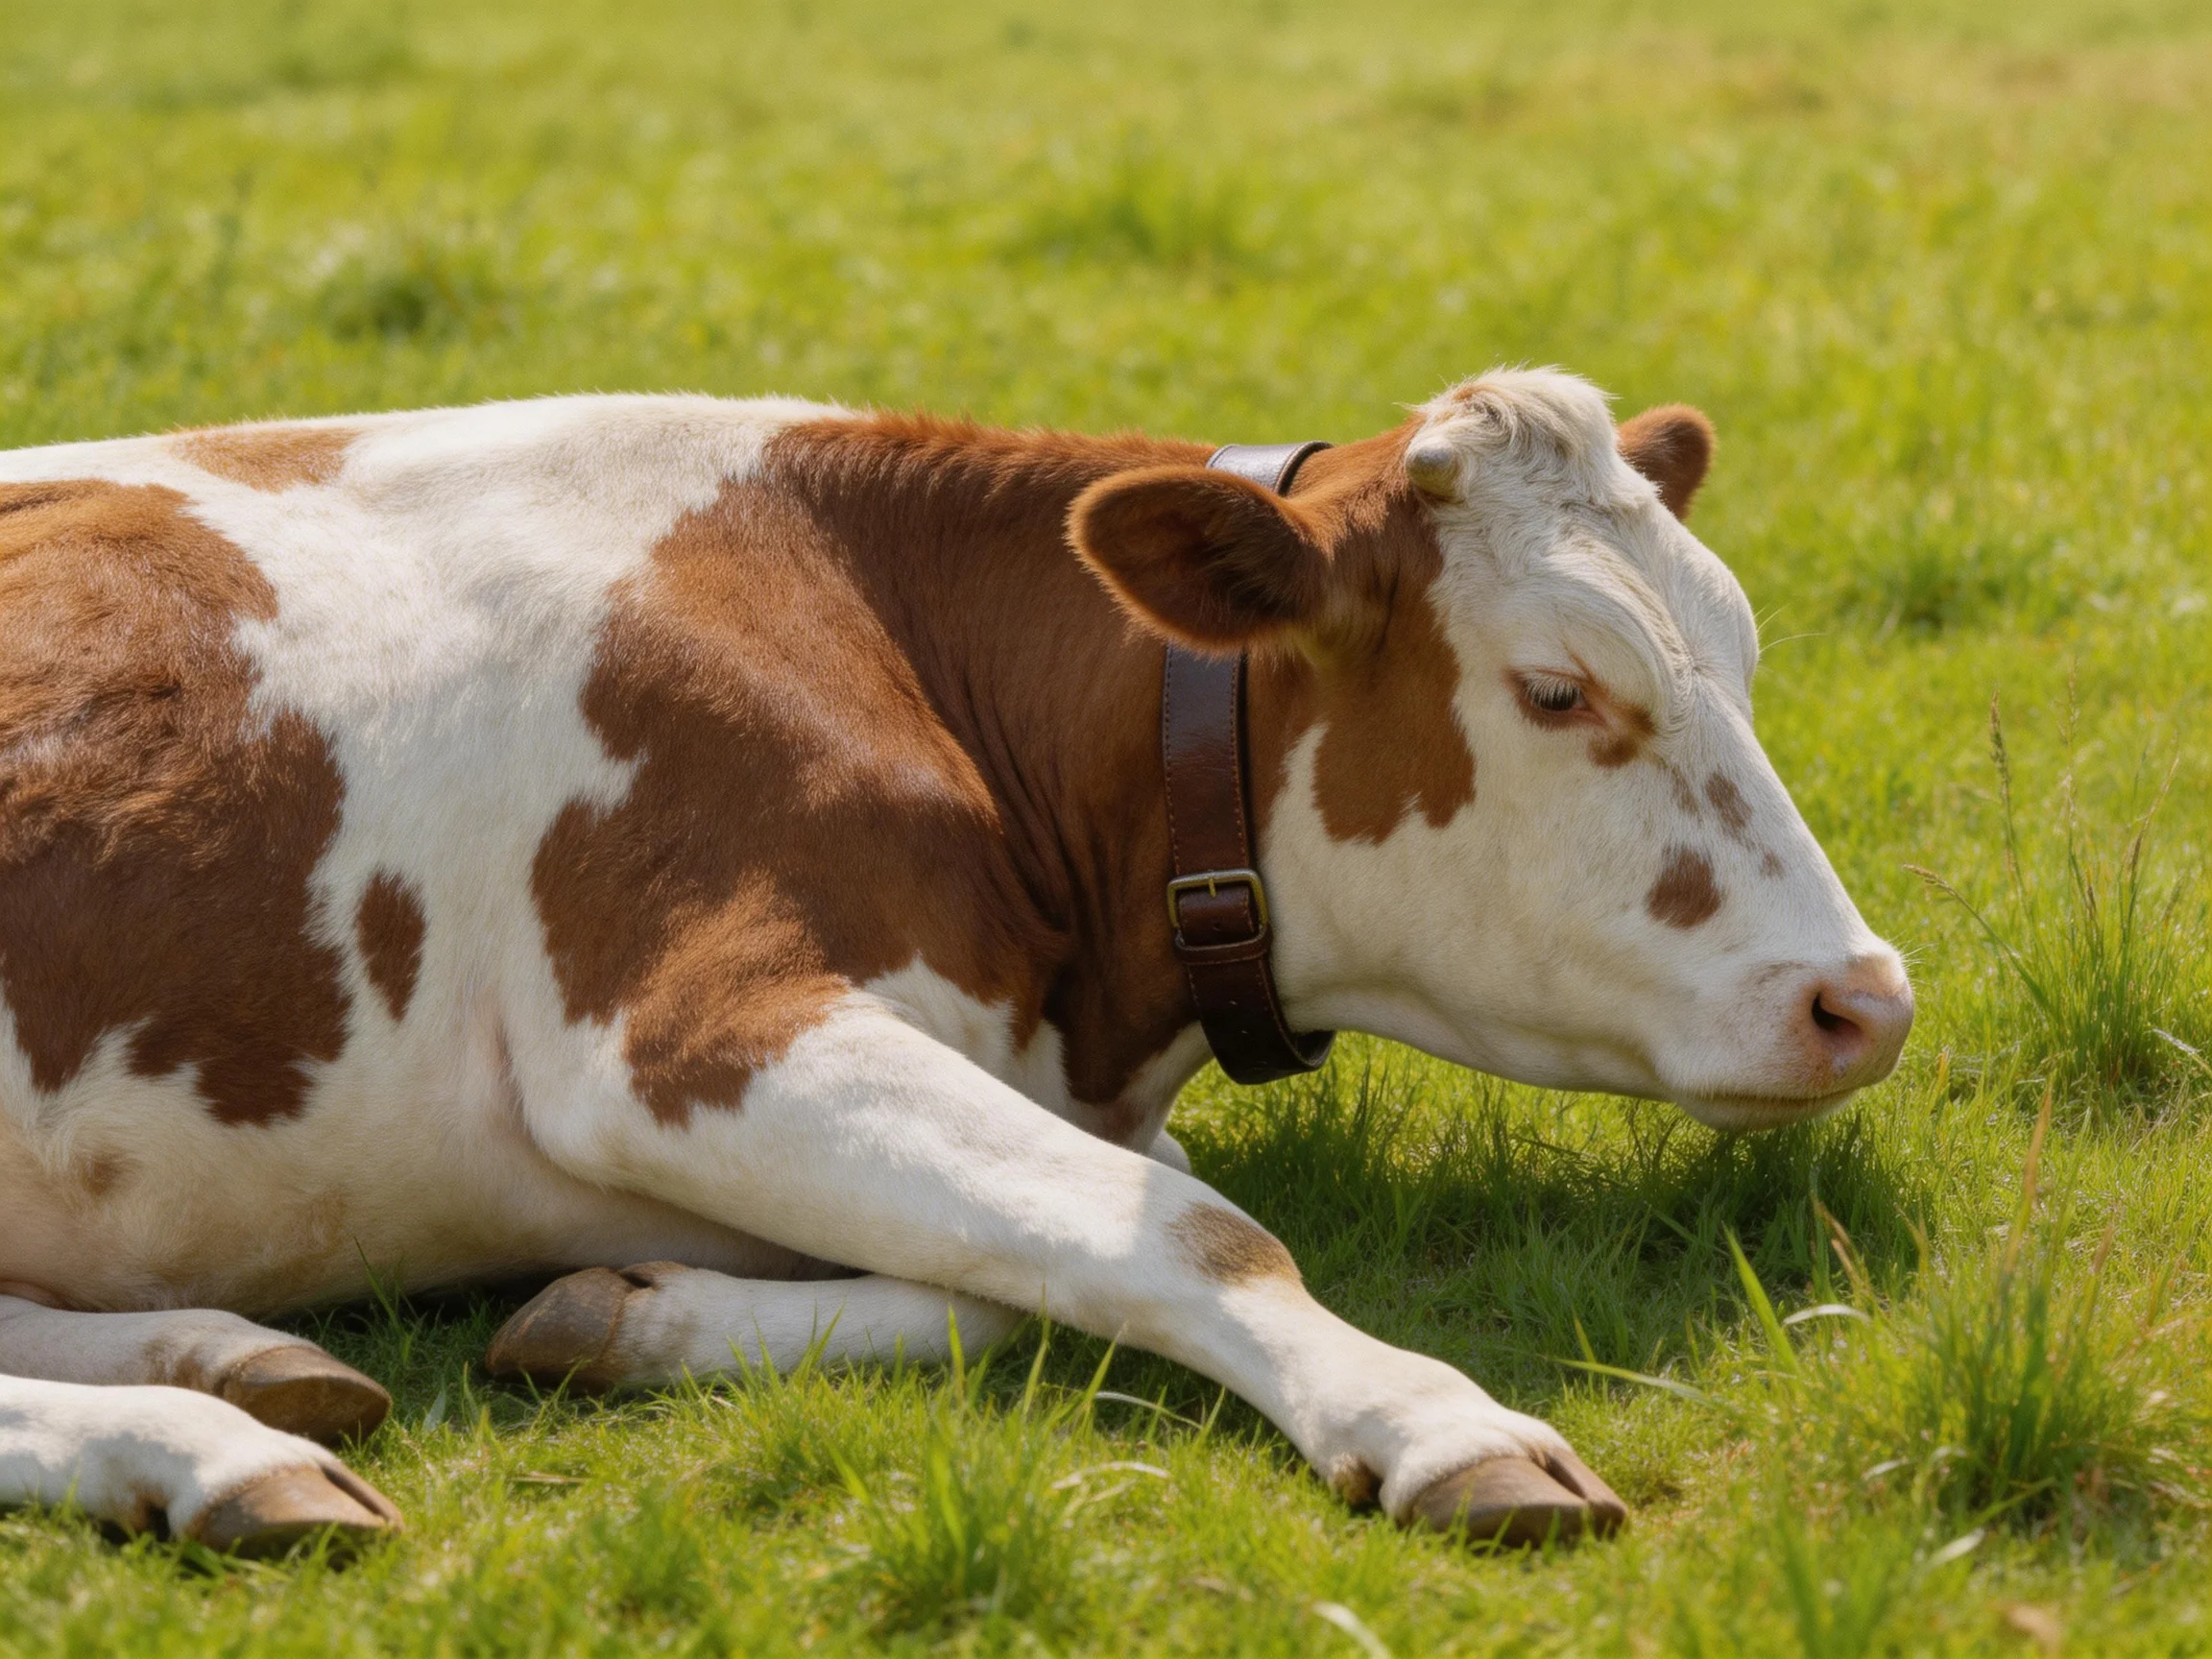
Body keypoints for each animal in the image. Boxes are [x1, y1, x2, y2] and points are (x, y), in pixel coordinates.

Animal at [0, 370, 1912, 1556]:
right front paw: (1442, 1423)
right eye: (1556, 687)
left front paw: (629, 1313)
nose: (1864, 998)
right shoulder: (679, 1029)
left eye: (1745, 651)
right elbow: (1199, 1228)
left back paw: (225, 1363)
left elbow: (1058, 1257)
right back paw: (207, 1450)